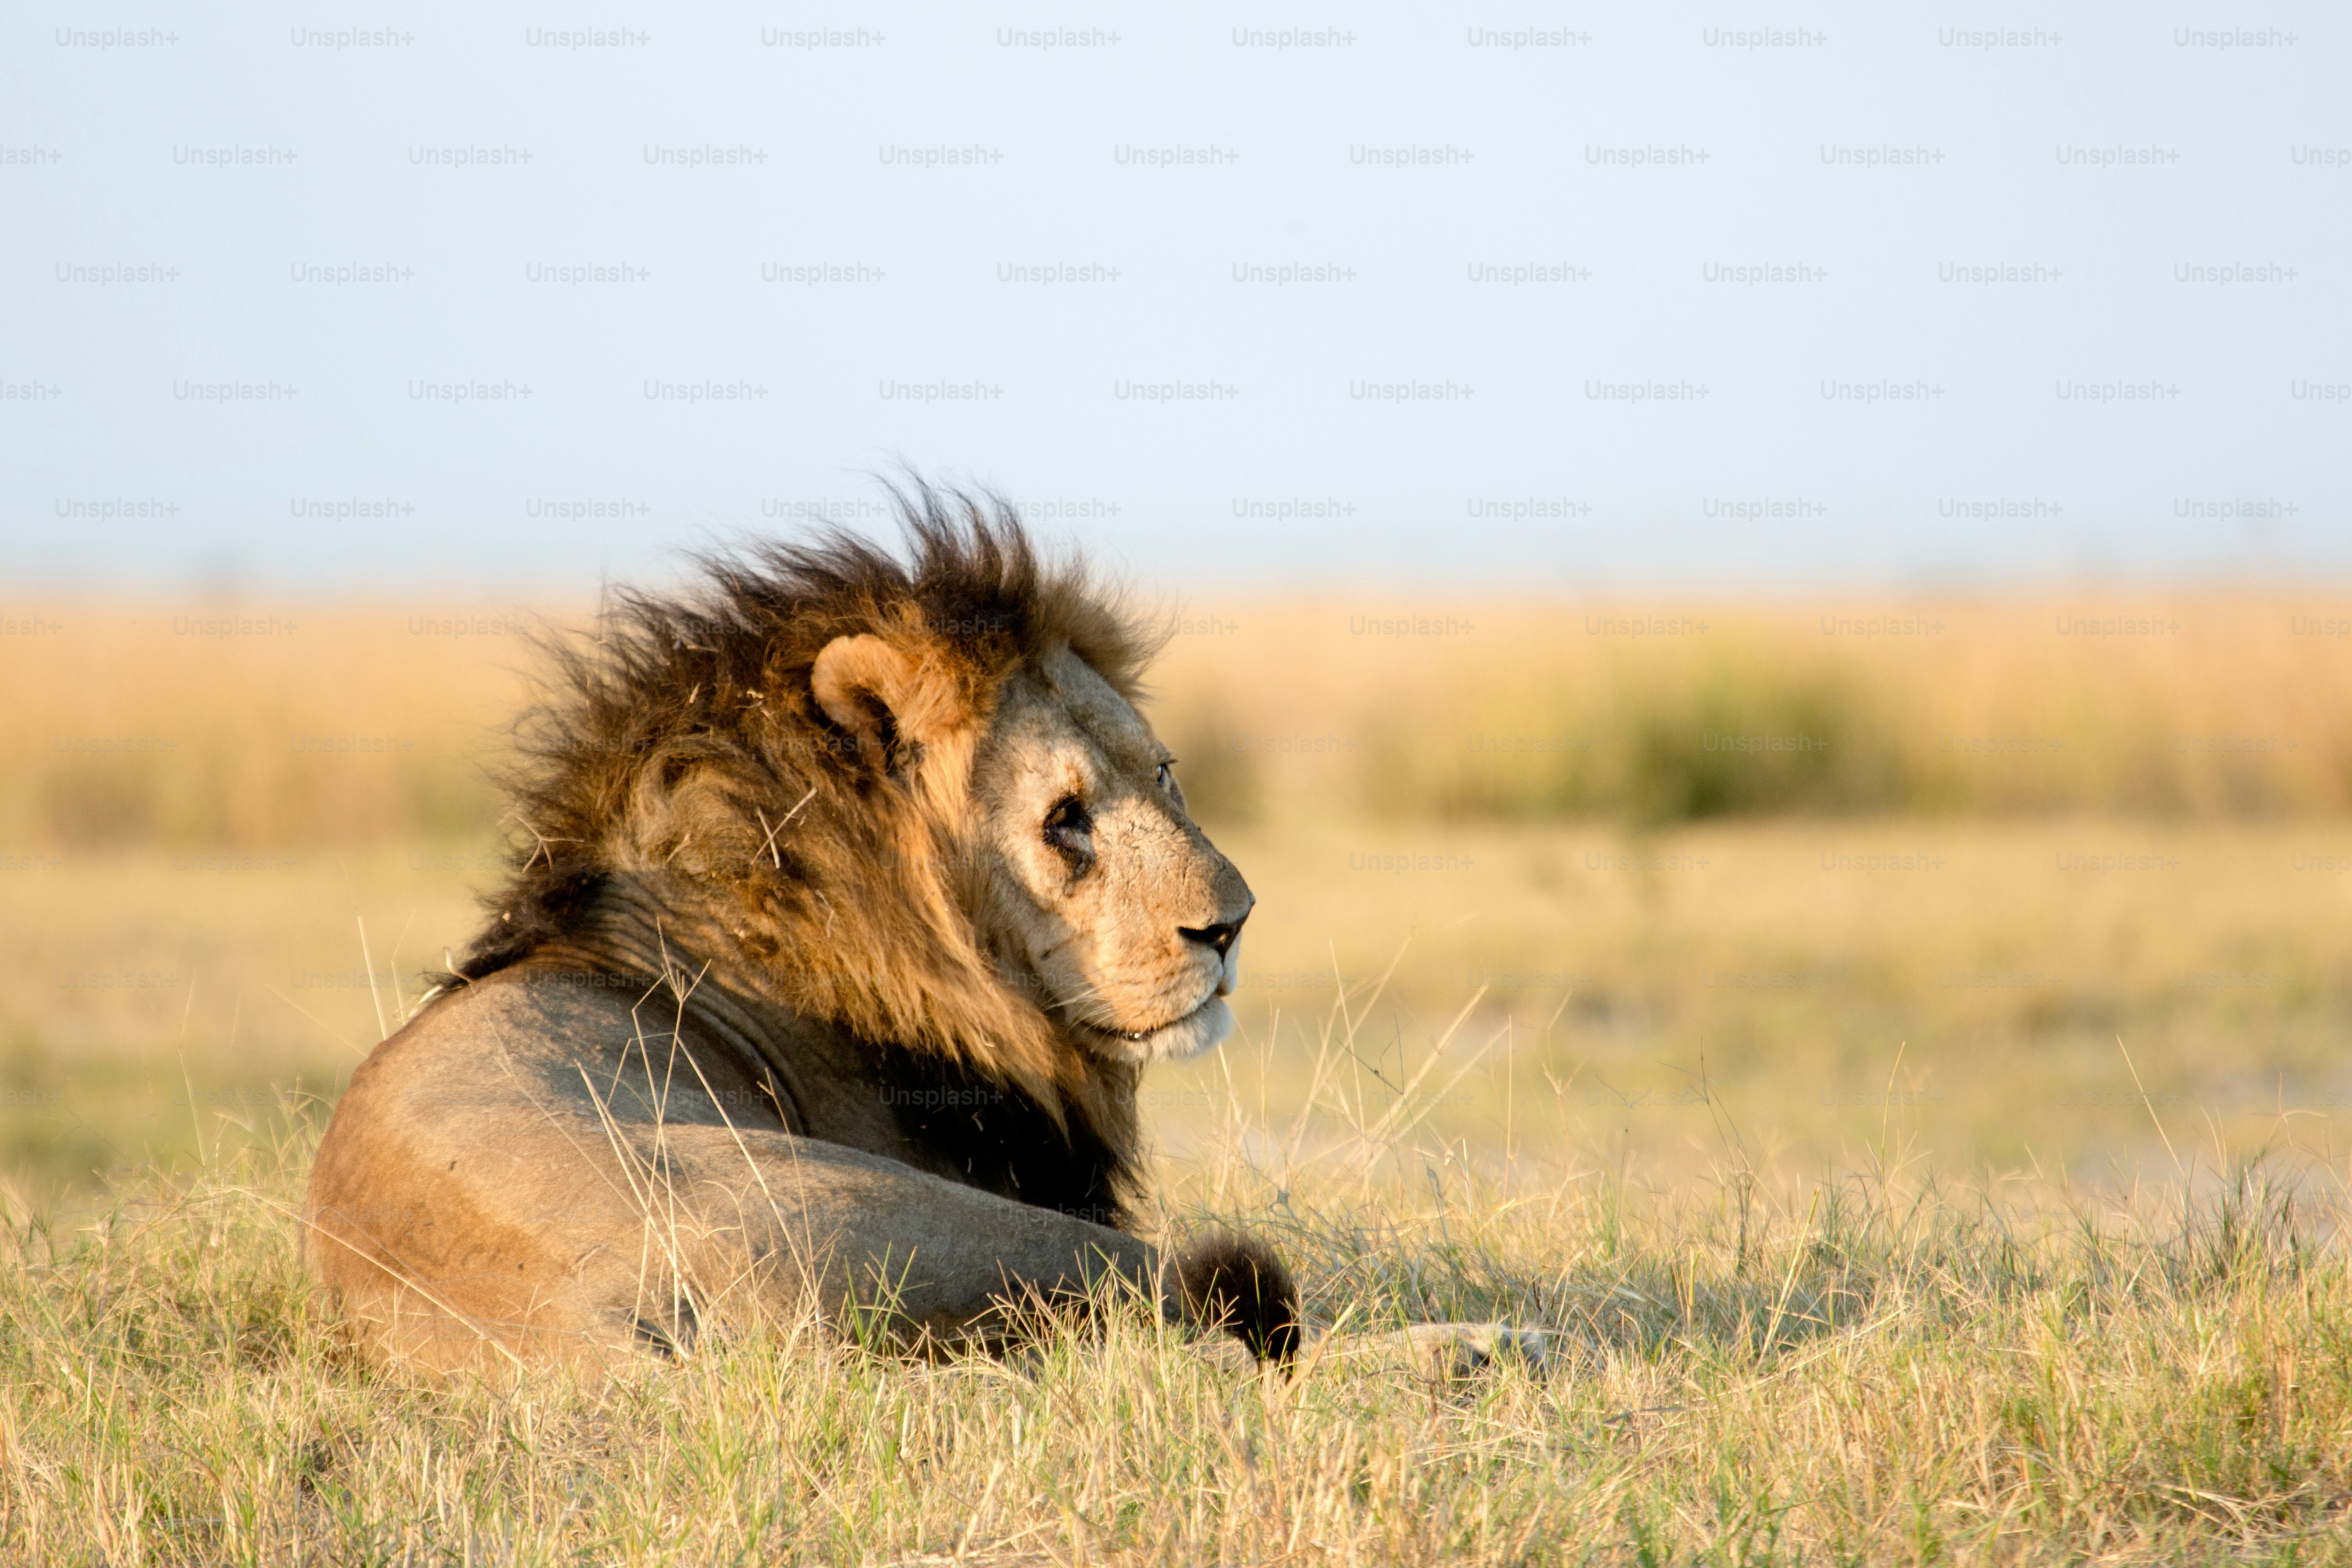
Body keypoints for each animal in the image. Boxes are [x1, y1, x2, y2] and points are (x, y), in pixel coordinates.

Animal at [304, 487, 1548, 1377]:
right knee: (1225, 1356)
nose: (1230, 925)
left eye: (1163, 773)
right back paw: (1484, 1347)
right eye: (1065, 820)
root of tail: (592, 1328)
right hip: (920, 1218)